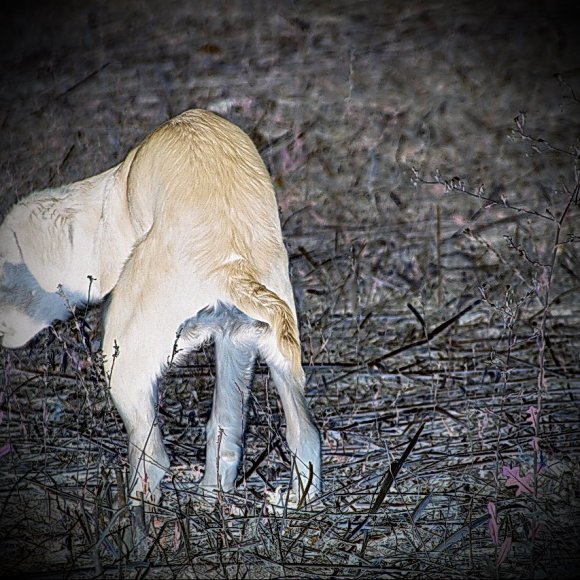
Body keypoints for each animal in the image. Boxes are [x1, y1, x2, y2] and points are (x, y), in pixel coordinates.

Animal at [0, 109, 322, 502]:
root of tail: (232, 268)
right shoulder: (237, 342)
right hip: (272, 355)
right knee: (295, 434)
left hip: (123, 361)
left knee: (152, 458)